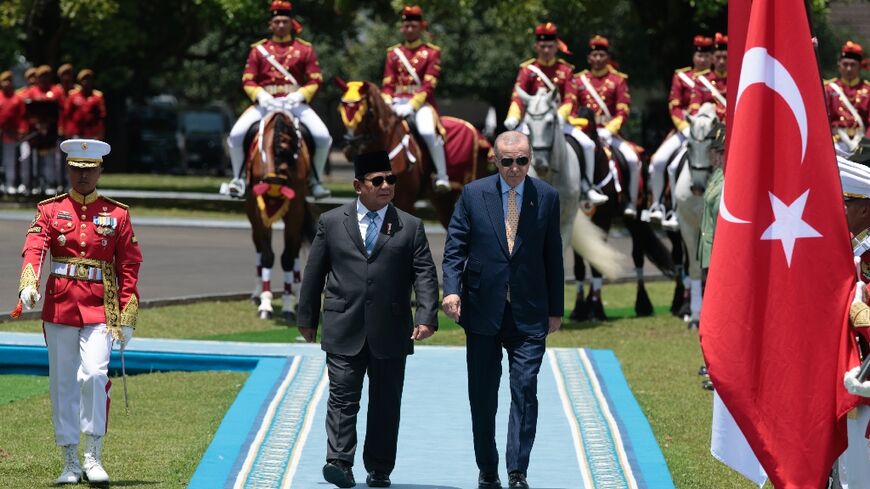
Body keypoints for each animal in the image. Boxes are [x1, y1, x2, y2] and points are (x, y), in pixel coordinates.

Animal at [245, 110, 316, 320]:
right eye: (267, 200)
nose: (272, 212)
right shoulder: (260, 210)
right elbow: (267, 256)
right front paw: (265, 304)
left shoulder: (295, 210)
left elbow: (288, 258)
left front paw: (287, 305)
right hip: (253, 217)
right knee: (259, 248)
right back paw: (257, 294)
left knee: (295, 253)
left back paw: (298, 293)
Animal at [338, 79, 494, 228]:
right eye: (342, 111)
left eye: (368, 113)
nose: (349, 150)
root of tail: (476, 131)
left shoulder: (405, 199)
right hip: (443, 200)